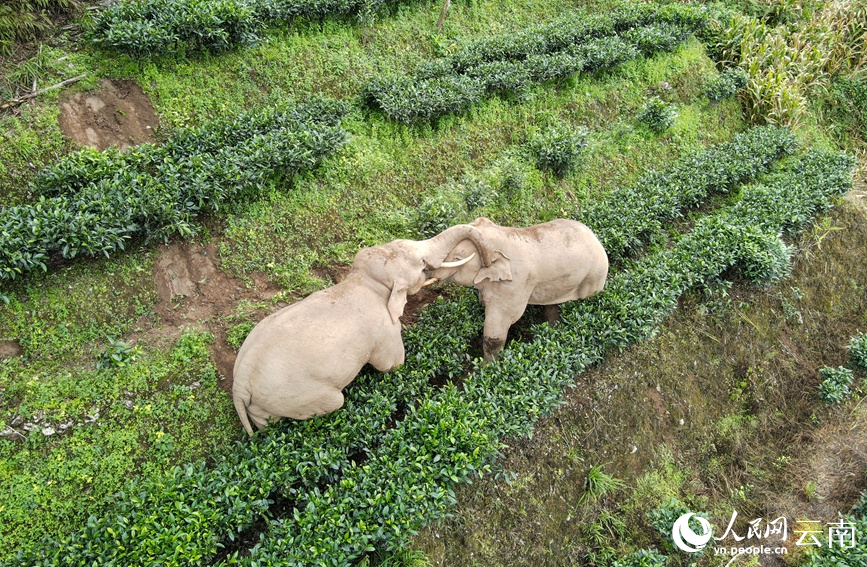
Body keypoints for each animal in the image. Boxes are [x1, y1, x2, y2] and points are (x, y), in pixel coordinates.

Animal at [232, 224, 496, 438]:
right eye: (421, 266)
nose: (486, 261)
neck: (365, 280)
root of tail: (239, 386)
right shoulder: (384, 329)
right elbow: (393, 365)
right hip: (294, 396)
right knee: (333, 401)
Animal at [424, 215, 608, 362]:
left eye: (457, 258)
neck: (504, 235)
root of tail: (597, 240)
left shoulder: (514, 285)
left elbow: (497, 328)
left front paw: (486, 369)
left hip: (594, 277)